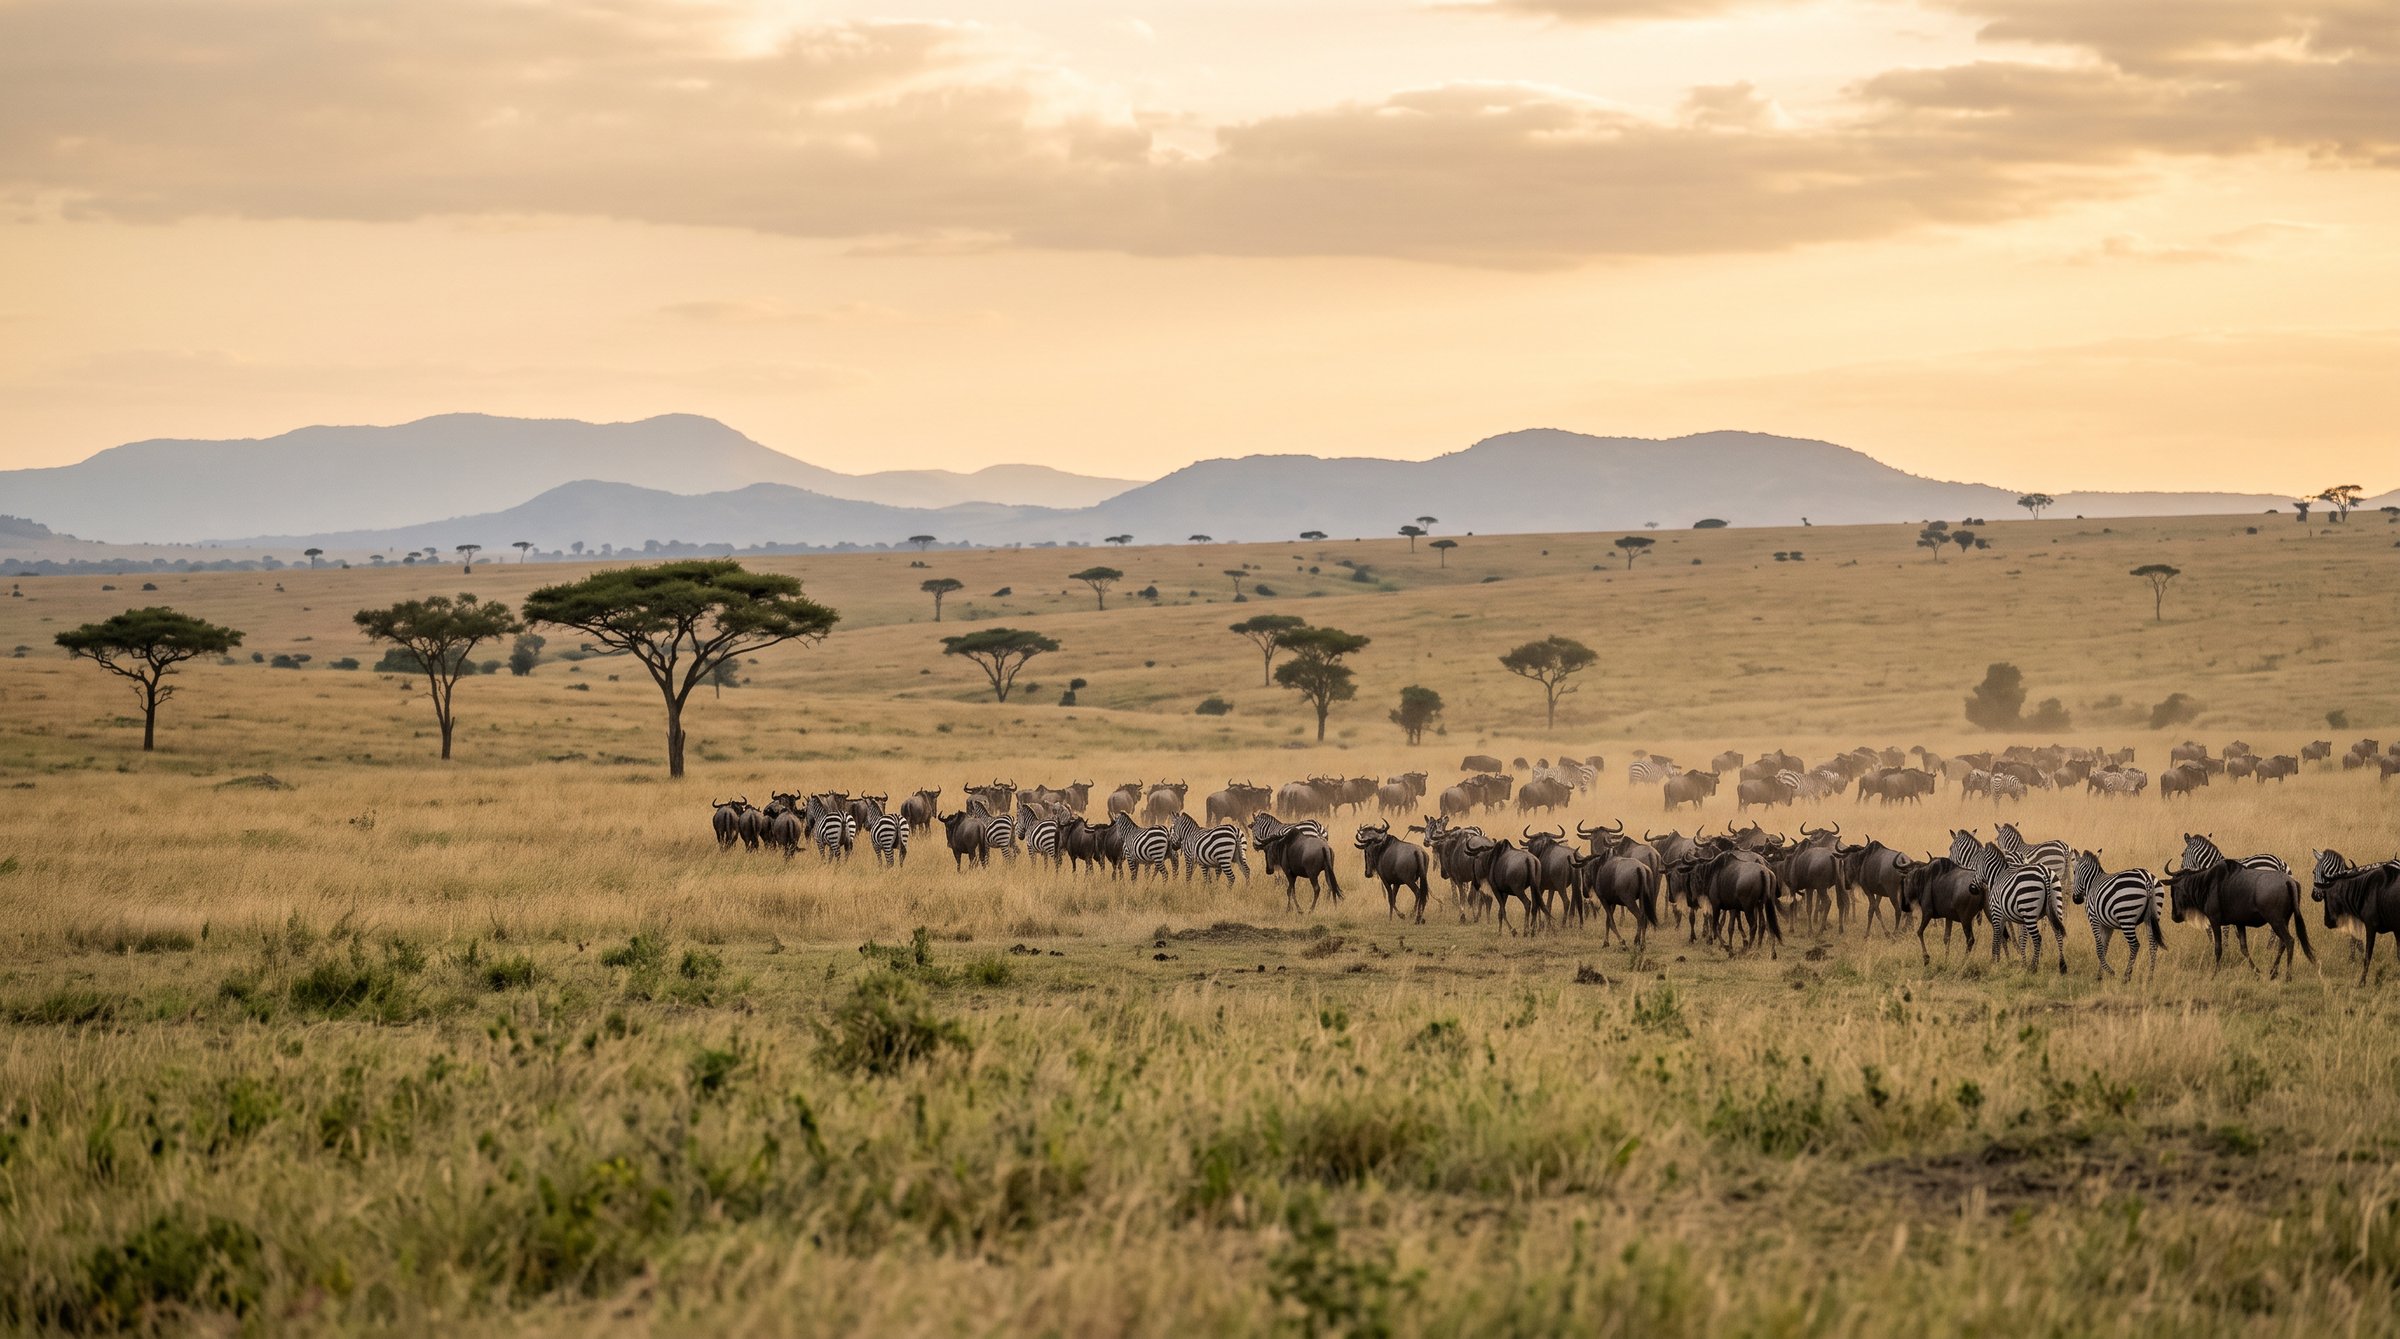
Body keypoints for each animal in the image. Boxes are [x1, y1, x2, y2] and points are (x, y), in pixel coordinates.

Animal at [1951, 829, 2067, 973]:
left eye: (1951, 848)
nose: (1971, 888)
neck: (1996, 876)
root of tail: (2045, 873)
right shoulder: (2008, 913)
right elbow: (2014, 936)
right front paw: (2013, 958)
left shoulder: (1996, 912)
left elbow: (1997, 937)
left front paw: (1995, 961)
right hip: (2055, 905)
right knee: (2058, 933)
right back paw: (2062, 965)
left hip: (2029, 908)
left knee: (2037, 938)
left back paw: (2033, 967)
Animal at [2071, 850, 2164, 979]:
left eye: (2074, 872)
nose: (2076, 899)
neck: (2092, 882)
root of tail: (2146, 877)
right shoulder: (2107, 925)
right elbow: (2104, 947)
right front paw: (2100, 975)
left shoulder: (2093, 918)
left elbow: (2099, 948)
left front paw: (2110, 972)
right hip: (2152, 916)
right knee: (2153, 944)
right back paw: (2150, 977)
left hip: (2126, 917)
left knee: (2135, 945)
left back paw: (2126, 976)